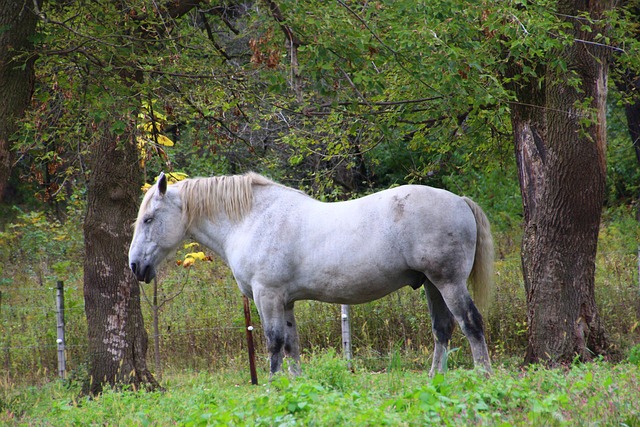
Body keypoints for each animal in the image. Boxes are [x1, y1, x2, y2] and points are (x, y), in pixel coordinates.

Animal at [129, 172, 496, 376]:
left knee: (471, 323)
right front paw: (295, 386)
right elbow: (292, 344)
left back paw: (484, 378)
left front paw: (273, 387)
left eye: (148, 219)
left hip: (449, 282)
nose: (135, 266)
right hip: (433, 285)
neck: (252, 220)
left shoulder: (268, 295)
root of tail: (460, 201)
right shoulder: (285, 301)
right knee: (443, 329)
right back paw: (436, 379)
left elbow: (274, 343)